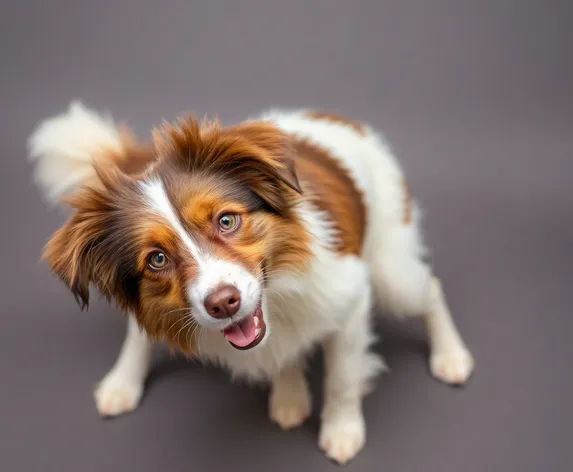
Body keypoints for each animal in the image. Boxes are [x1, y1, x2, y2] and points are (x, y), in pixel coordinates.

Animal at [26, 101, 474, 462]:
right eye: (157, 259)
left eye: (226, 220)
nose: (223, 302)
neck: (275, 296)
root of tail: (339, 119)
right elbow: (142, 333)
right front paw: (122, 383)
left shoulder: (351, 300)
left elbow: (343, 378)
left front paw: (342, 430)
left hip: (392, 272)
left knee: (430, 290)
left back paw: (451, 356)